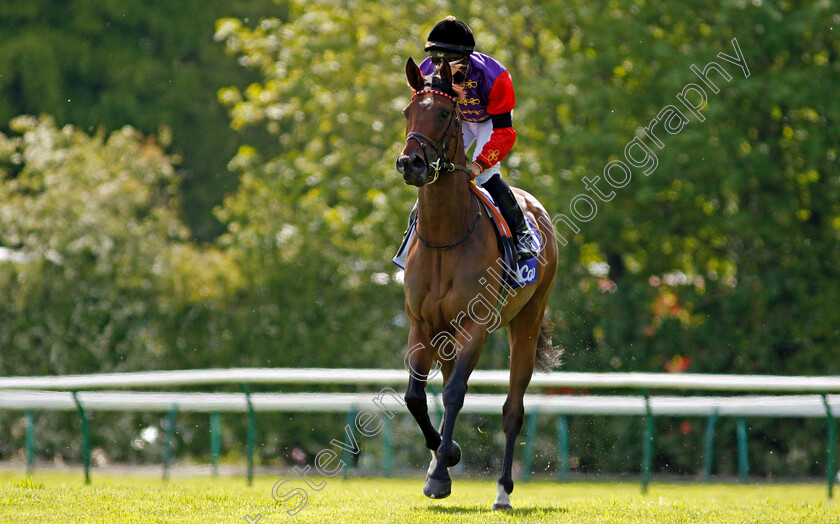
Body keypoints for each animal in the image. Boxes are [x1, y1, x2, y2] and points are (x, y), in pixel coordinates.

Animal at [398, 58, 560, 512]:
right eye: (407, 112)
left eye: (444, 114)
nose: (410, 163)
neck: (445, 236)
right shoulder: (422, 324)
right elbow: (416, 396)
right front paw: (446, 455)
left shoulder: (476, 326)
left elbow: (454, 394)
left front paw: (440, 474)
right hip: (447, 334)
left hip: (526, 322)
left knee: (512, 409)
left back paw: (503, 490)